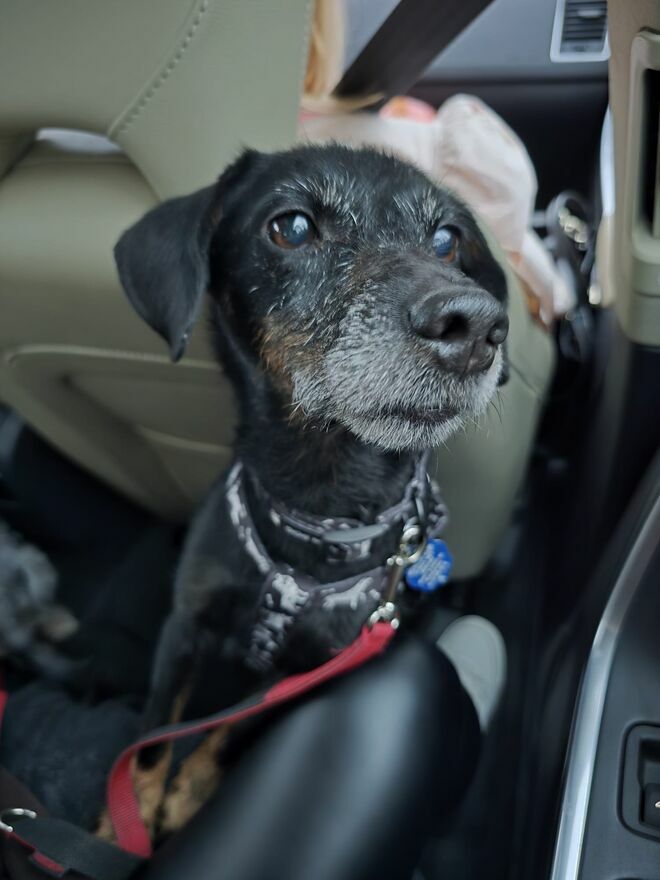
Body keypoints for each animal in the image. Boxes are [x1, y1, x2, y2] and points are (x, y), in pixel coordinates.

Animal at [104, 144, 509, 839]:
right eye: (291, 226)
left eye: (447, 239)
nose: (478, 324)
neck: (319, 503)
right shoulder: (184, 624)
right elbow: (155, 732)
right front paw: (123, 817)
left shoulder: (318, 668)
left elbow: (237, 730)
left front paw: (188, 794)